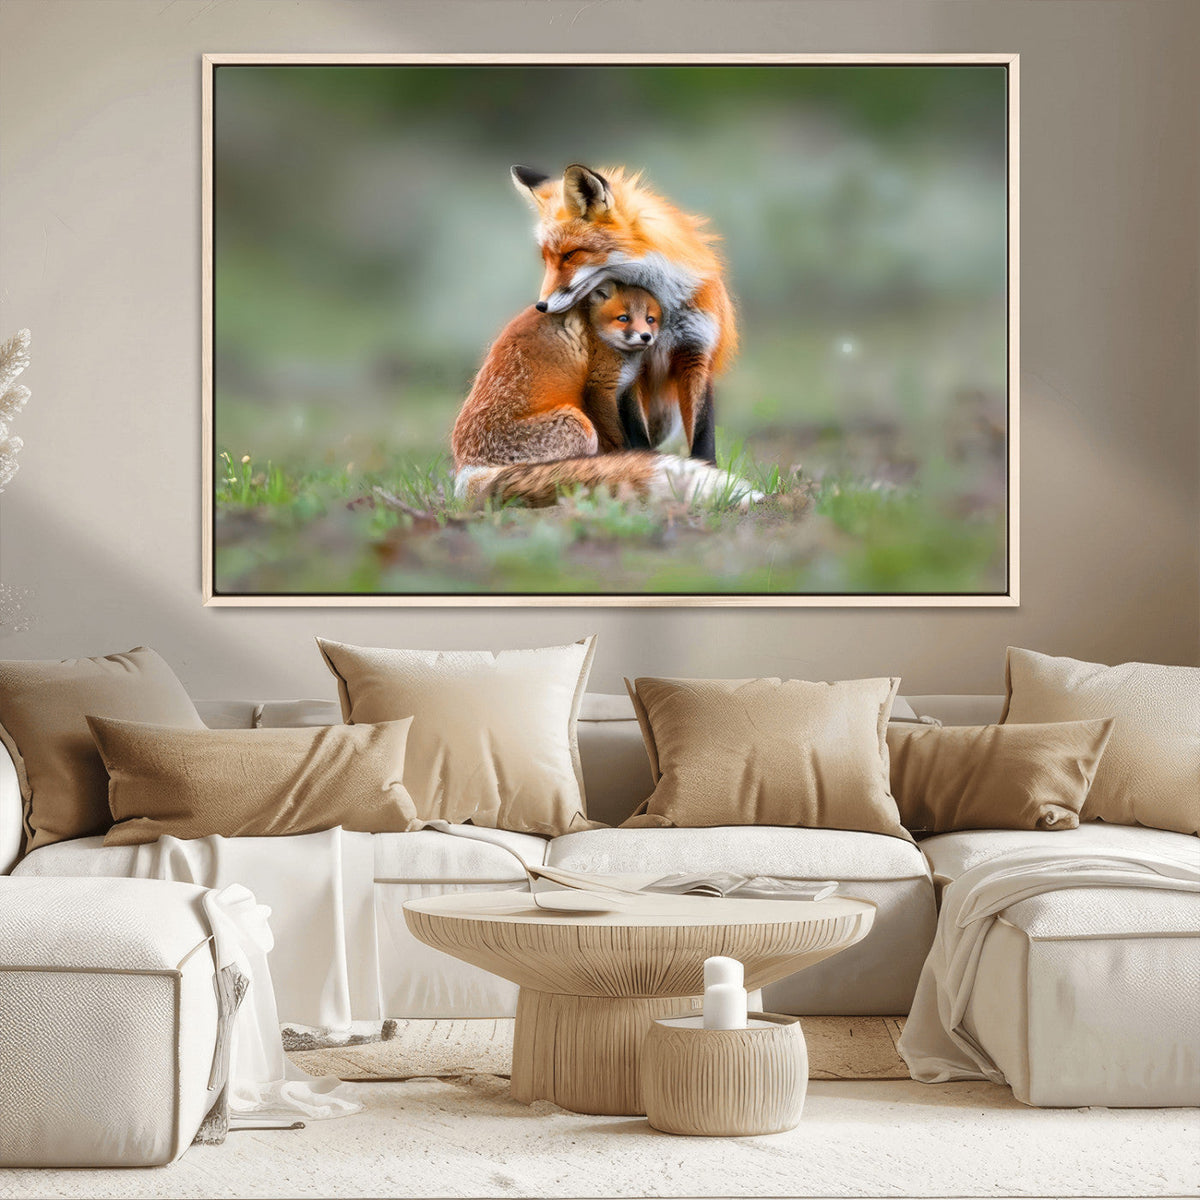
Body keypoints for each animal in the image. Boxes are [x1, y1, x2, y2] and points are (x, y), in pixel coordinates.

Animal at [452, 282, 759, 508]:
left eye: (650, 319)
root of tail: (468, 470)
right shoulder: (600, 387)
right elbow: (620, 438)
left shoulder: (627, 389)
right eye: (623, 318)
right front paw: (631, 461)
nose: (646, 337)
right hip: (578, 425)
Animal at [511, 163, 738, 464]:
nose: (541, 306)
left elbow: (703, 436)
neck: (663, 309)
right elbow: (637, 434)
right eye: (545, 259)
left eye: (570, 254)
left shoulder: (696, 354)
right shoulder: (630, 368)